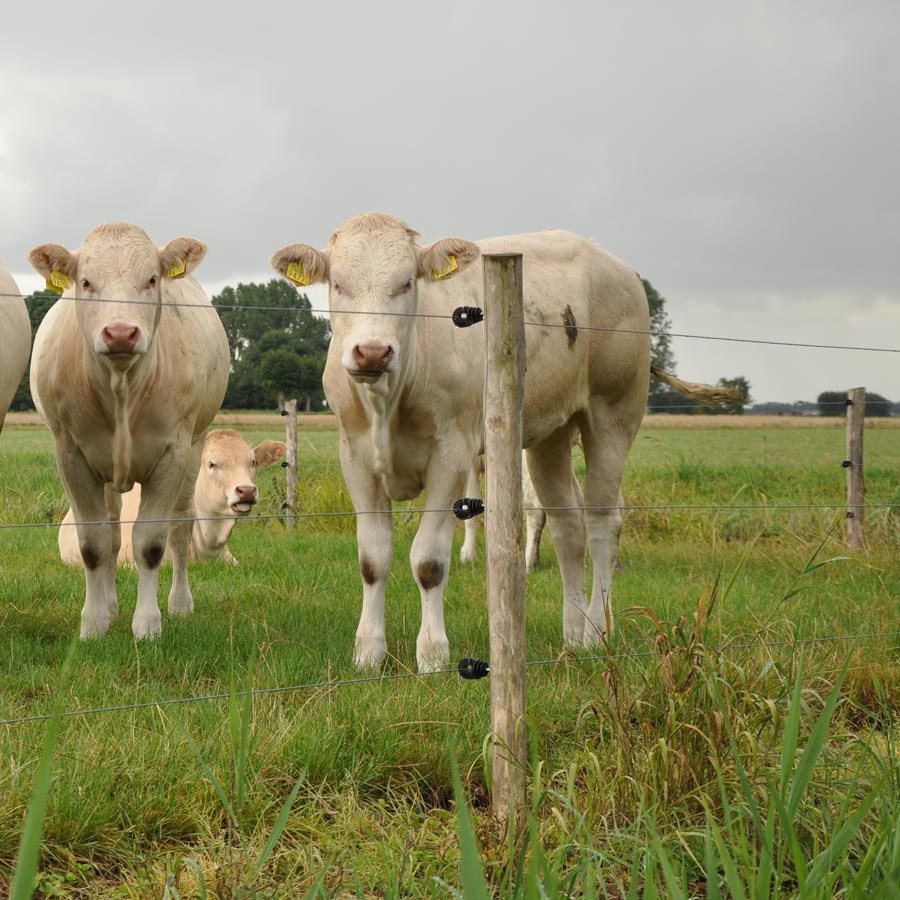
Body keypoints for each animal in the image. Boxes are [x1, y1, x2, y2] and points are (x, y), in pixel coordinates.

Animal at [29, 224, 230, 640]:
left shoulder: (173, 453)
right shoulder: (70, 453)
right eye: (86, 282)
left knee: (181, 526)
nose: (121, 333)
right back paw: (110, 606)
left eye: (151, 279)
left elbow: (151, 543)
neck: (120, 388)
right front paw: (93, 622)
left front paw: (148, 624)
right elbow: (94, 544)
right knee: (112, 530)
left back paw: (179, 604)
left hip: (195, 446)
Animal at [268, 214, 732, 672]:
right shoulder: (356, 457)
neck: (389, 401)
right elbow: (372, 560)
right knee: (568, 527)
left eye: (407, 282)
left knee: (603, 525)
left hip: (614, 415)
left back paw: (599, 631)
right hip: (550, 435)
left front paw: (432, 654)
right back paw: (573, 634)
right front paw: (368, 653)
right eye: (338, 284)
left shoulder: (452, 455)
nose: (372, 352)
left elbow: (429, 561)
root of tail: (616, 264)